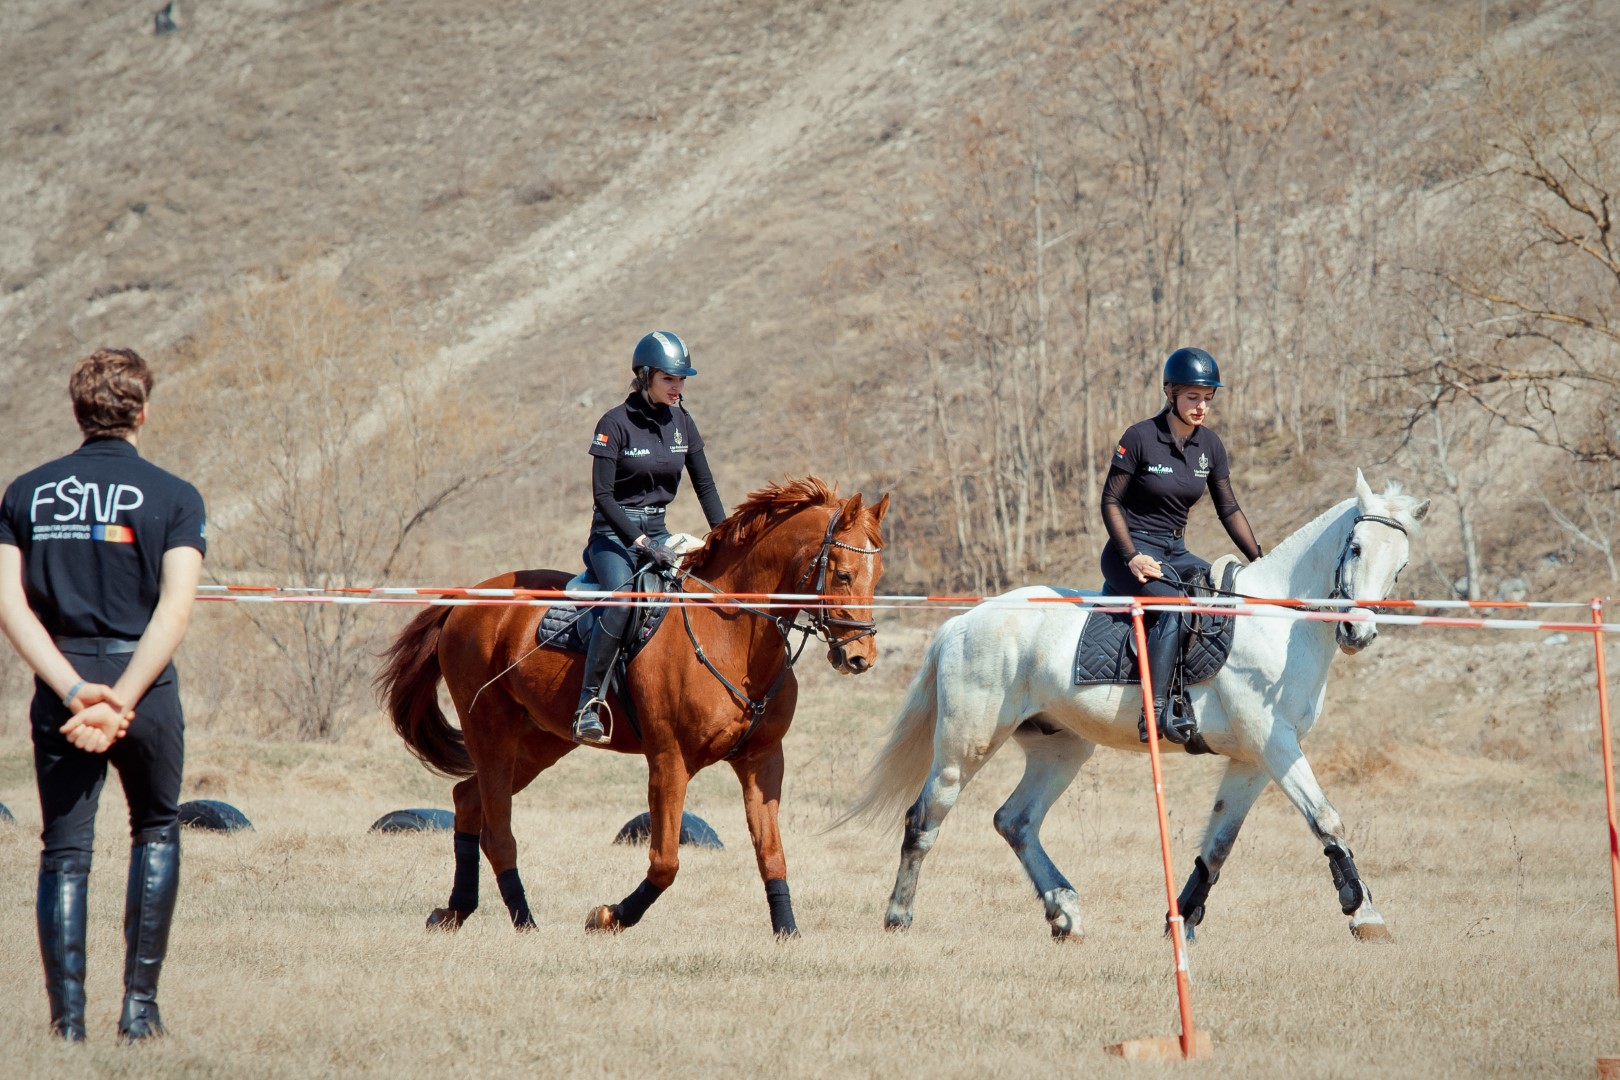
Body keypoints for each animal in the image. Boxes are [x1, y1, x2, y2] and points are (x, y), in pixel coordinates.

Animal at [377, 477, 889, 937]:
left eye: (877, 577)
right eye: (843, 574)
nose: (859, 657)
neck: (731, 635)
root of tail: (466, 600)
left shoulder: (762, 761)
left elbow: (771, 852)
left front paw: (788, 931)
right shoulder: (669, 760)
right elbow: (665, 862)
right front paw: (609, 917)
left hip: (542, 741)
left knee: (468, 800)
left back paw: (455, 911)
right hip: (489, 729)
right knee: (497, 830)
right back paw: (524, 922)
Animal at [840, 470, 1428, 943]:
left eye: (1400, 564)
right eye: (1355, 548)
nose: (1357, 633)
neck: (1276, 622)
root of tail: (963, 621)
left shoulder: (1254, 759)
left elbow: (1219, 846)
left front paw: (1182, 921)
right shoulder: (1273, 743)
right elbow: (1327, 819)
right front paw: (1365, 915)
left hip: (1061, 748)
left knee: (1016, 821)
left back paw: (1064, 913)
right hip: (967, 744)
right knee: (925, 817)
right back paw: (899, 916)